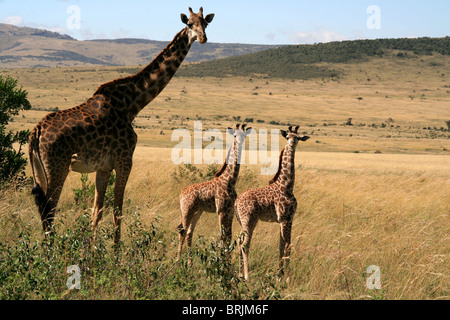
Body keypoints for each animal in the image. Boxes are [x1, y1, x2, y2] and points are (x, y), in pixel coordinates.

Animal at [29, 7, 214, 244]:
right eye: (190, 24)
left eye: (205, 24)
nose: (202, 38)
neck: (132, 103)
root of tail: (36, 132)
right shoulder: (125, 159)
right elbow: (118, 210)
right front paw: (116, 250)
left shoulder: (104, 166)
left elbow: (97, 210)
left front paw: (92, 248)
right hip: (57, 167)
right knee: (49, 209)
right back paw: (52, 249)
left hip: (39, 169)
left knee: (42, 207)